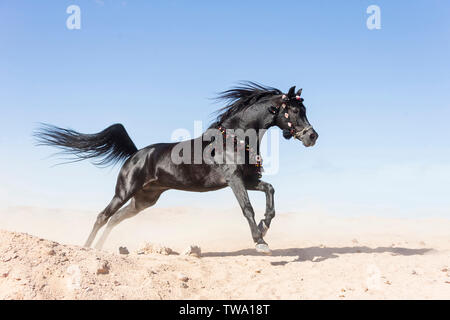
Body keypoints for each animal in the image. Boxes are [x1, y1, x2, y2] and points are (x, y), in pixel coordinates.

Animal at [34, 83, 316, 255]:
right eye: (293, 110)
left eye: (303, 109)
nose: (312, 136)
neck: (236, 138)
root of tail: (136, 153)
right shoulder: (234, 179)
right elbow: (247, 208)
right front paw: (260, 241)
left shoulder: (246, 179)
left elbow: (270, 191)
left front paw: (265, 225)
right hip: (124, 191)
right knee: (103, 216)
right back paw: (87, 247)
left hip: (143, 200)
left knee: (115, 219)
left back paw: (101, 248)